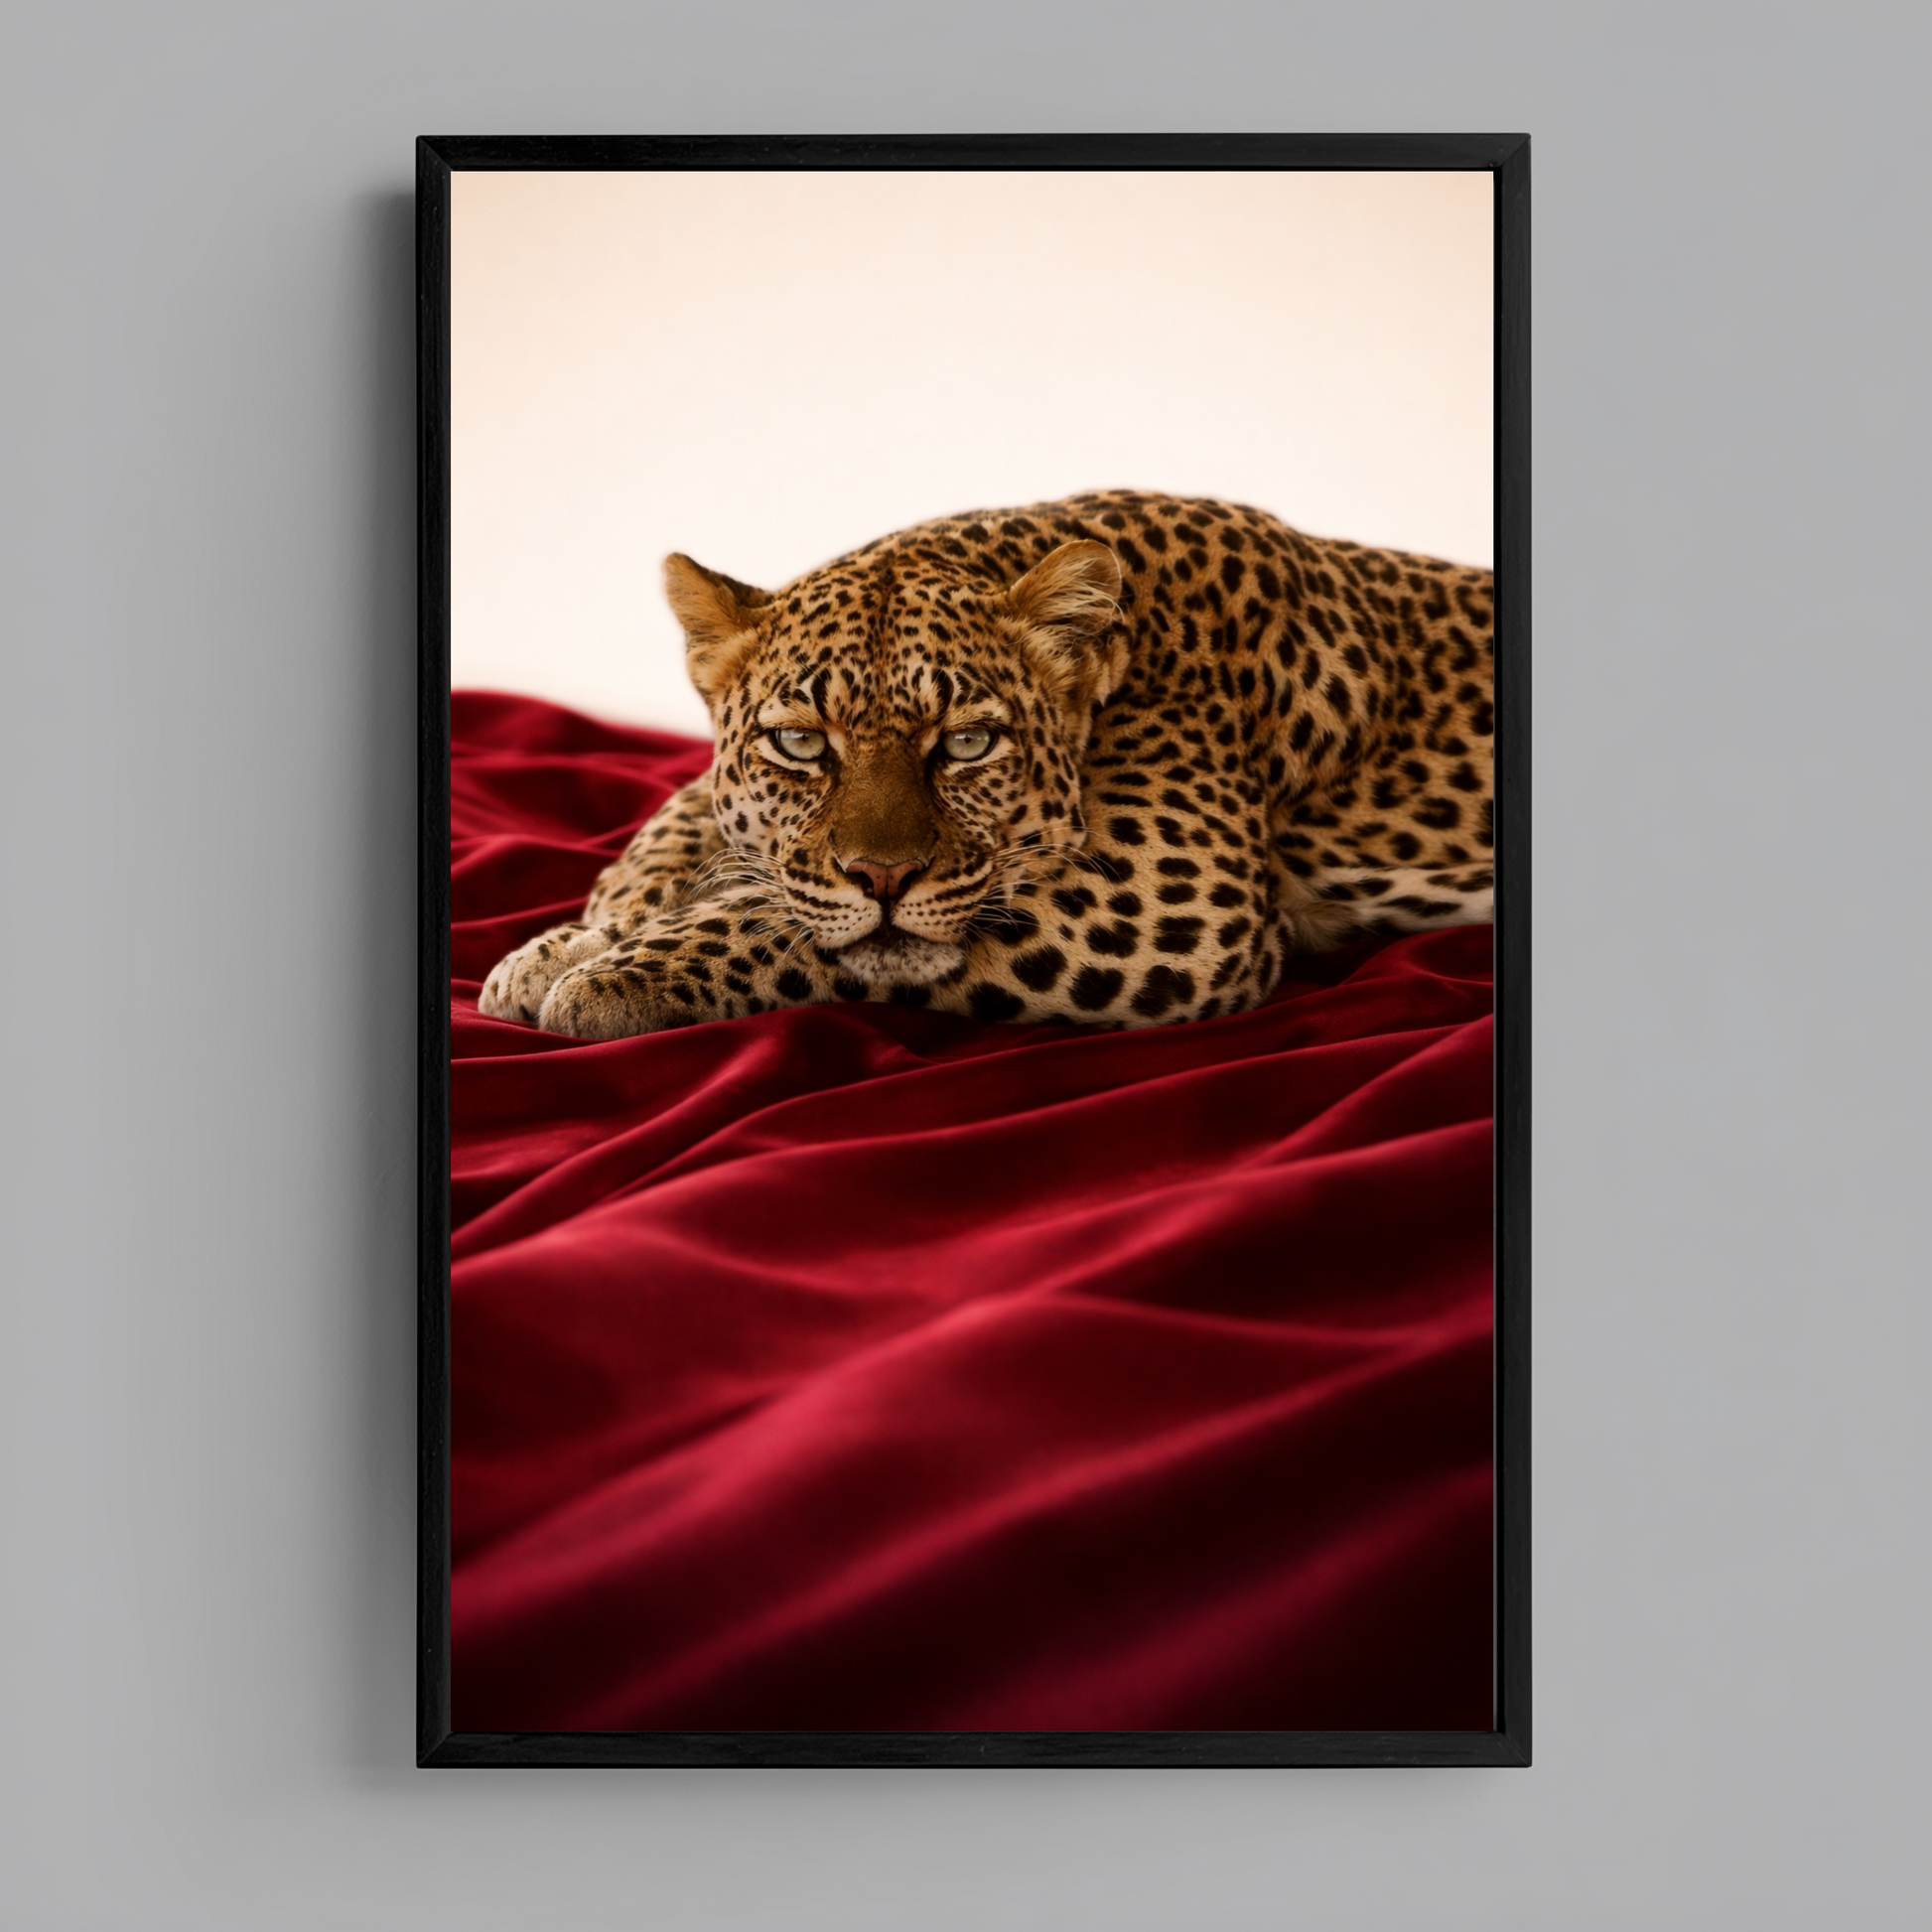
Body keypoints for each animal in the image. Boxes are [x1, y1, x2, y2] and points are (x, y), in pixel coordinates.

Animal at [478, 491, 1495, 1039]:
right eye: (801, 743)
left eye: (967, 743)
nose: (883, 876)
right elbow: (681, 827)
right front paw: (573, 942)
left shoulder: (1167, 899)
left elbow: (790, 923)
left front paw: (607, 977)